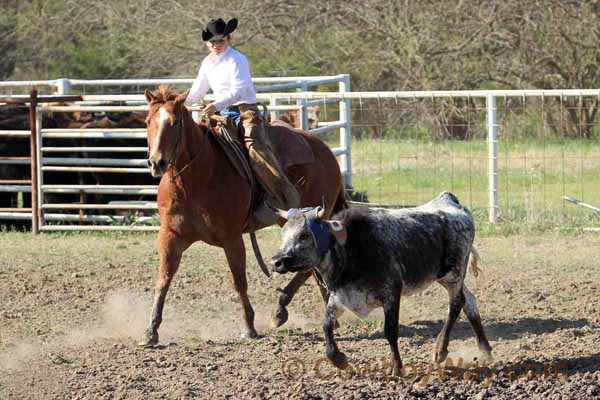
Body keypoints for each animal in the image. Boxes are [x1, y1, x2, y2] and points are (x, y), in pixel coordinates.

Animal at [141, 87, 346, 344]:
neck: (196, 178)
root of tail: (324, 150)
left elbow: (238, 281)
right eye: (147, 121)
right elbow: (163, 278)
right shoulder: (170, 235)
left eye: (175, 122)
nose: (156, 162)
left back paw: (280, 311)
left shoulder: (232, 238)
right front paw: (151, 330)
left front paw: (249, 327)